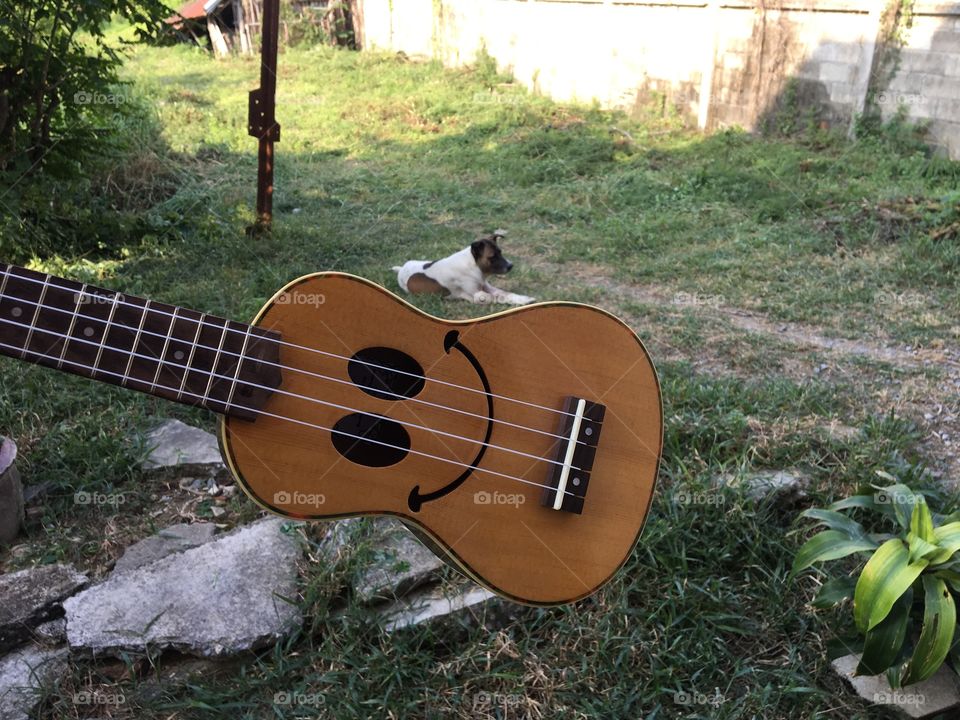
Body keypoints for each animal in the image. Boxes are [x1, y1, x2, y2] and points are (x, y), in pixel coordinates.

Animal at [394, 232, 536, 306]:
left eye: (500, 252)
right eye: (492, 257)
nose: (510, 265)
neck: (473, 266)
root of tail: (401, 269)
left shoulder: (487, 287)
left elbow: (504, 293)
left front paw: (523, 299)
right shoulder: (478, 295)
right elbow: (496, 297)